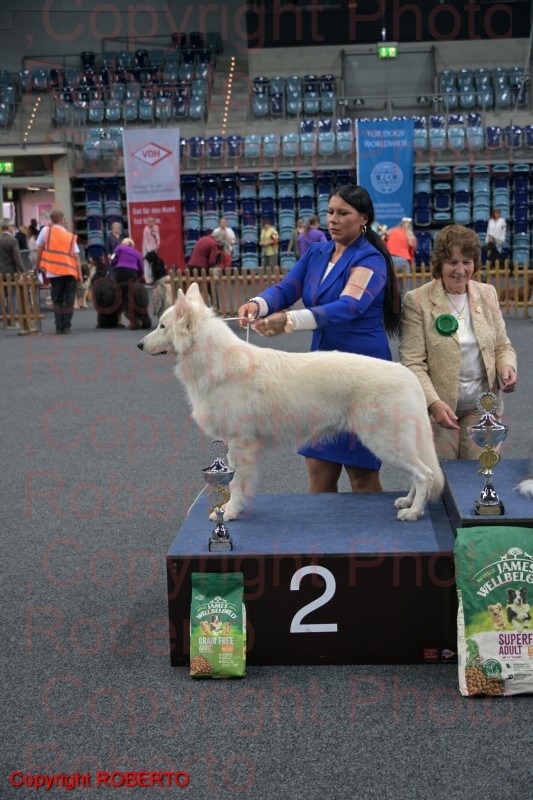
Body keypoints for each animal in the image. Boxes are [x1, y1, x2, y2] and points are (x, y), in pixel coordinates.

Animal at [137, 283, 445, 522]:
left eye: (162, 326)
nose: (139, 345)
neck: (214, 361)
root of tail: (410, 376)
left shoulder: (239, 444)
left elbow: (236, 482)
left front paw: (231, 512)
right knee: (419, 474)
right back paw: (407, 502)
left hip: (386, 443)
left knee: (425, 475)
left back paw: (413, 512)